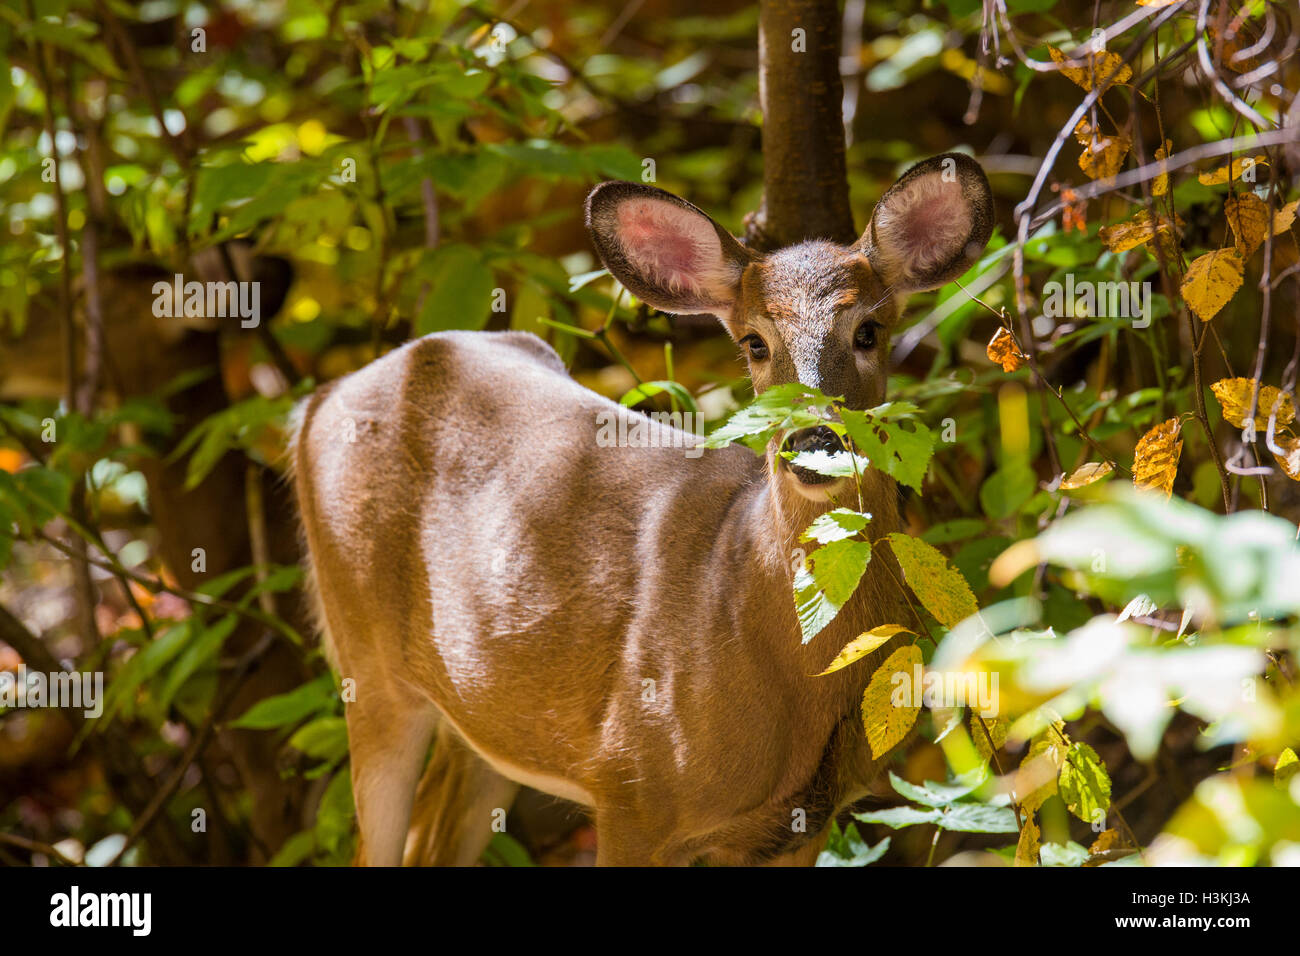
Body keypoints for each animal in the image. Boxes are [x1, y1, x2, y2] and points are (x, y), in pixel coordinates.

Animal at [289, 152, 993, 866]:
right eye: (754, 343)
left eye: (868, 331)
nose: (813, 442)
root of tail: (314, 403)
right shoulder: (629, 784)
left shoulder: (803, 821)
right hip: (368, 669)